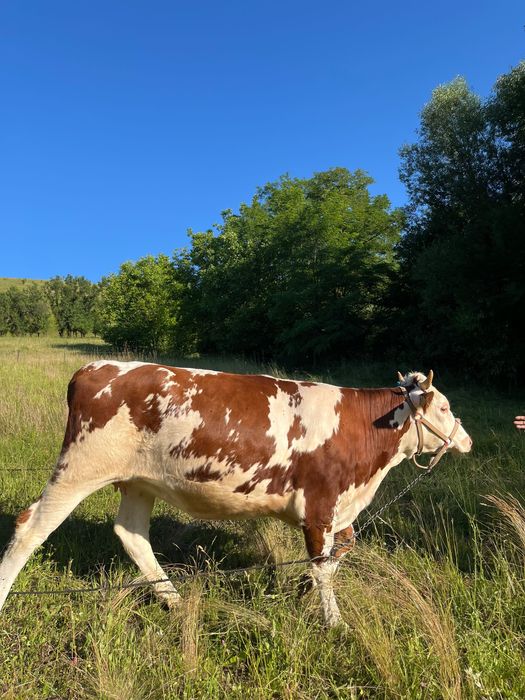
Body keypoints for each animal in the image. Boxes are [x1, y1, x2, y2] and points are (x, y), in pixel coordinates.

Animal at [0, 362, 472, 625]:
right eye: (445, 407)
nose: (466, 440)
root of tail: (93, 368)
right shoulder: (321, 503)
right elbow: (323, 566)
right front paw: (334, 622)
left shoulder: (340, 510)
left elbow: (339, 553)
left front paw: (302, 595)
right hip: (79, 469)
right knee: (29, 528)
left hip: (138, 481)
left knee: (131, 534)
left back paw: (174, 600)